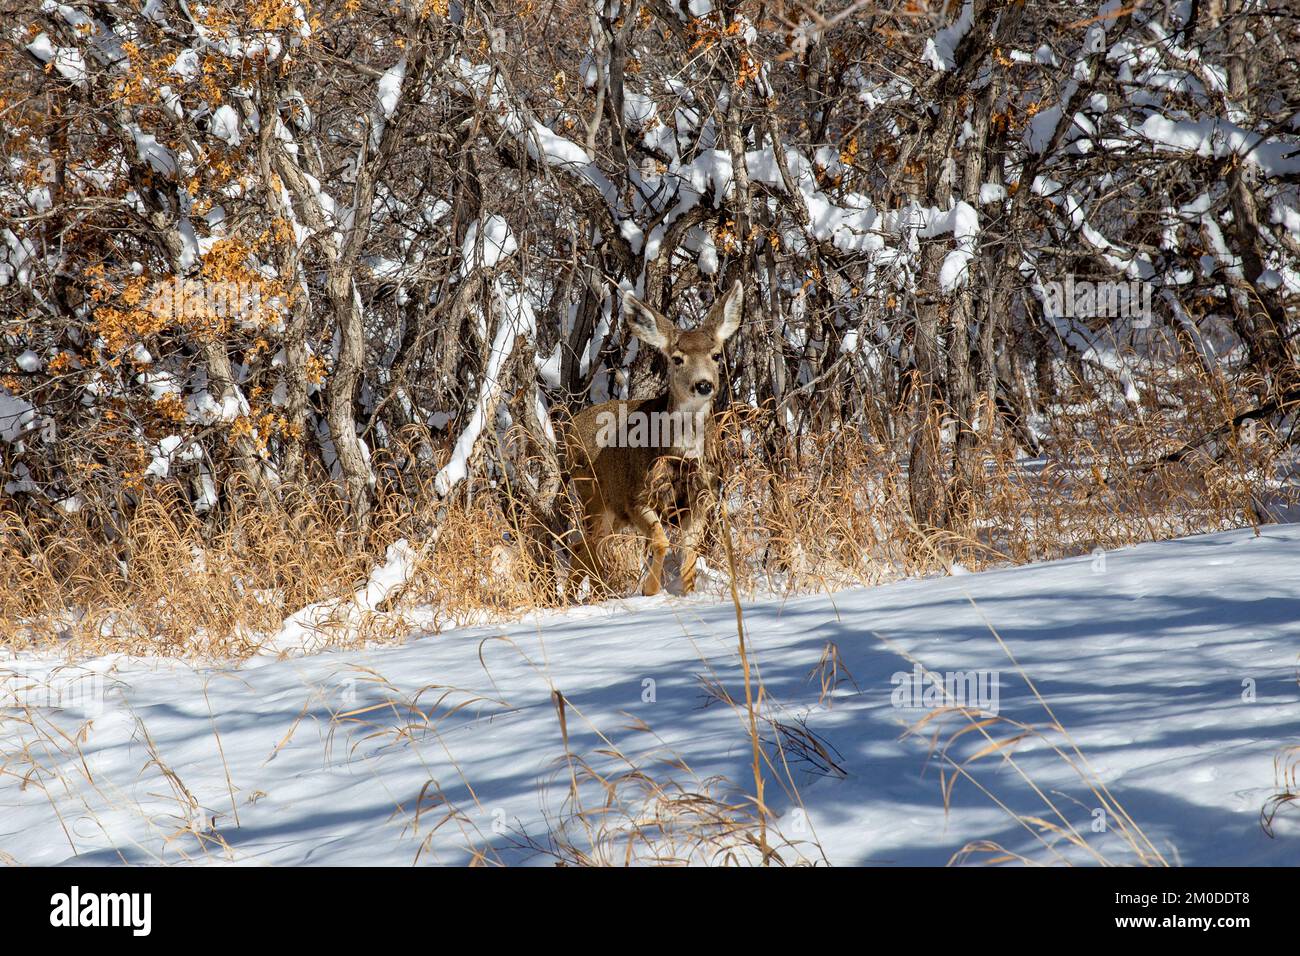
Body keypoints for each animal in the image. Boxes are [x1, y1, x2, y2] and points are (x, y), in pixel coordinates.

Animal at [559, 278, 743, 598]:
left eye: (716, 354)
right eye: (677, 358)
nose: (704, 384)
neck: (682, 456)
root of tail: (571, 427)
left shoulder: (703, 496)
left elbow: (689, 550)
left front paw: (689, 591)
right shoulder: (636, 496)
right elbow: (661, 541)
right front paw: (651, 590)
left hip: (609, 511)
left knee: (584, 547)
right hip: (594, 496)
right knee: (588, 546)